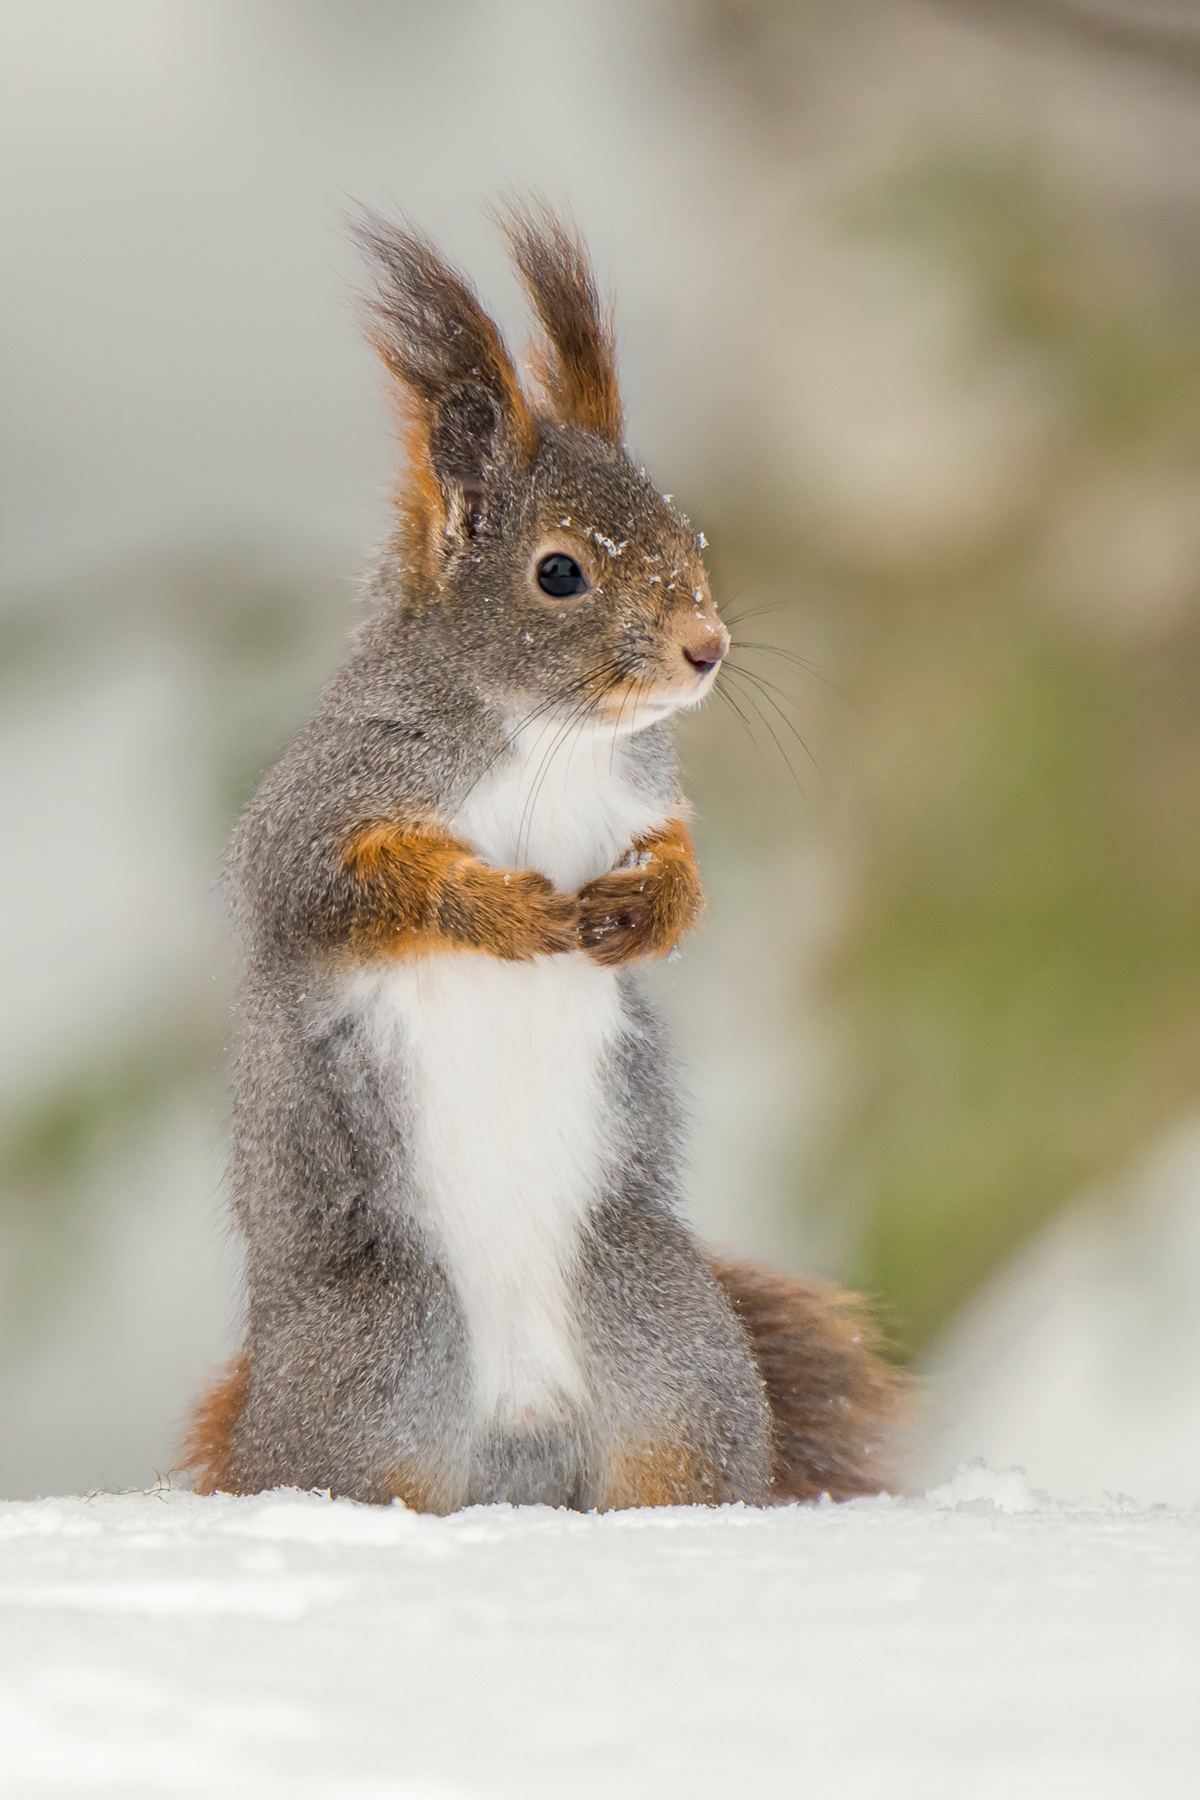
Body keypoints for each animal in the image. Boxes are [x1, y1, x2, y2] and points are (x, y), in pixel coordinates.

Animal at [181, 203, 902, 1511]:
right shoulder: (315, 811)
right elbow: (335, 889)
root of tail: (521, 1432)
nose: (707, 648)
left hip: (670, 1356)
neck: (545, 739)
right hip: (375, 1385)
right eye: (559, 571)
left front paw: (648, 909)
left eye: (685, 536)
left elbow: (681, 863)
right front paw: (501, 911)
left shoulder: (645, 794)